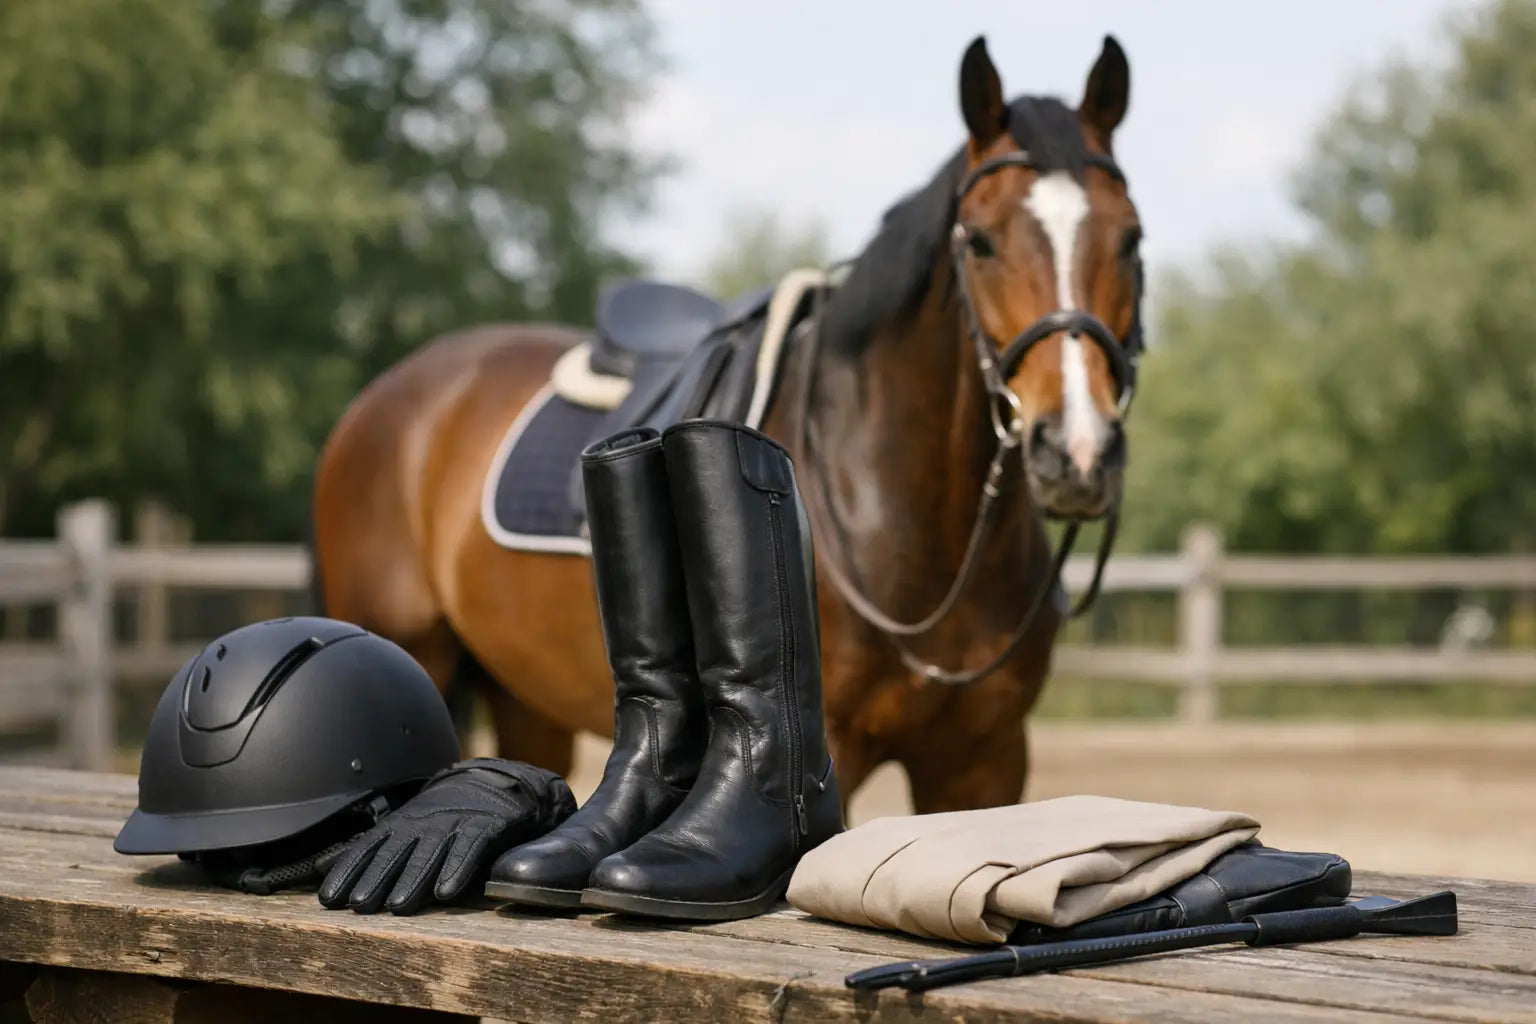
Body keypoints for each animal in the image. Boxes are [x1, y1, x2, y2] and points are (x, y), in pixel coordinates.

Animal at [311, 34, 1145, 814]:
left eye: (1131, 237)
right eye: (981, 241)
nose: (1077, 449)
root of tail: (388, 393)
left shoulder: (984, 760)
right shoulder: (829, 747)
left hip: (523, 693)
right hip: (413, 647)